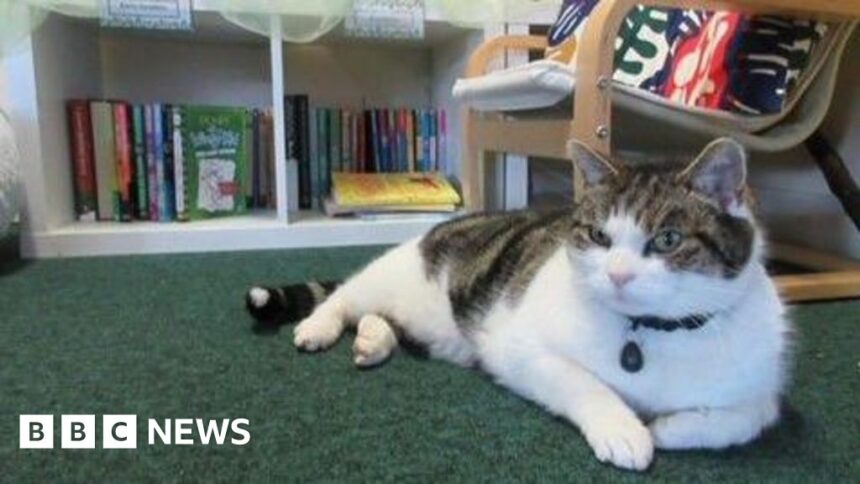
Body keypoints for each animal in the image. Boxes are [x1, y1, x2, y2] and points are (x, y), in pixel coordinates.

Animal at [245, 138, 788, 470]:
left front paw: (669, 427)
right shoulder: (522, 351)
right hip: (391, 274)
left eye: (668, 239)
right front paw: (627, 429)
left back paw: (374, 341)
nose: (617, 273)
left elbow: (744, 419)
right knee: (343, 297)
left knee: (383, 320)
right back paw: (320, 327)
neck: (648, 334)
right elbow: (587, 384)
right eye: (598, 236)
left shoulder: (762, 389)